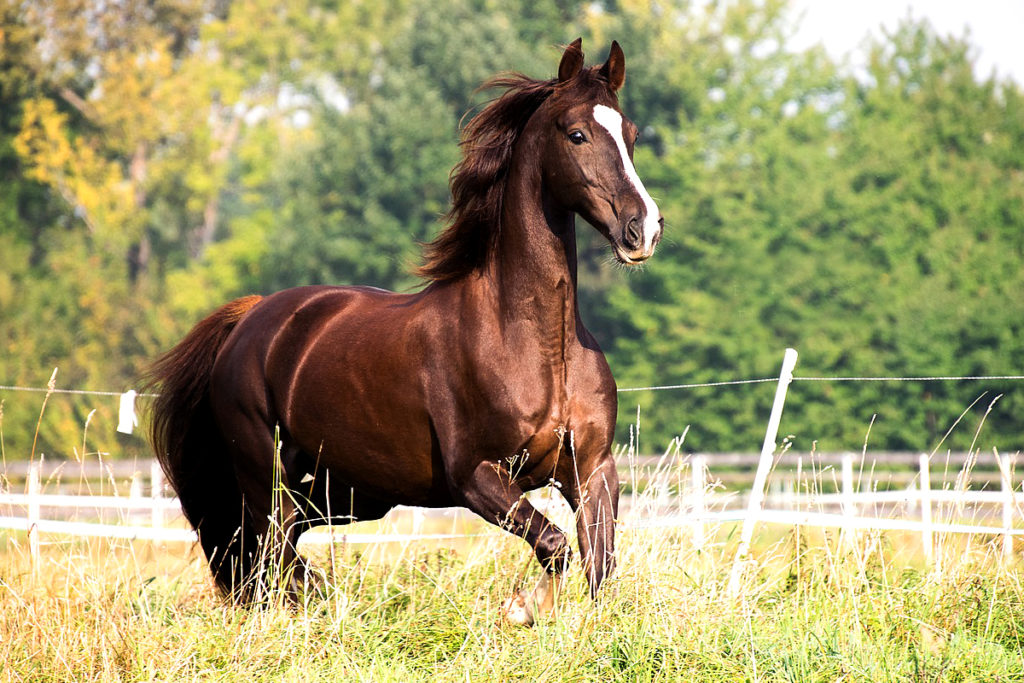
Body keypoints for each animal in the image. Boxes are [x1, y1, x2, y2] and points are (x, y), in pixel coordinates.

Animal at [147, 38, 662, 625]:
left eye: (630, 134)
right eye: (577, 134)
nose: (643, 229)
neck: (536, 344)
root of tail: (252, 319)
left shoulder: (593, 470)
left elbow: (599, 565)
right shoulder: (475, 475)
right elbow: (554, 546)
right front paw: (523, 609)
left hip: (345, 490)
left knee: (280, 549)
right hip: (264, 475)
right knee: (269, 554)